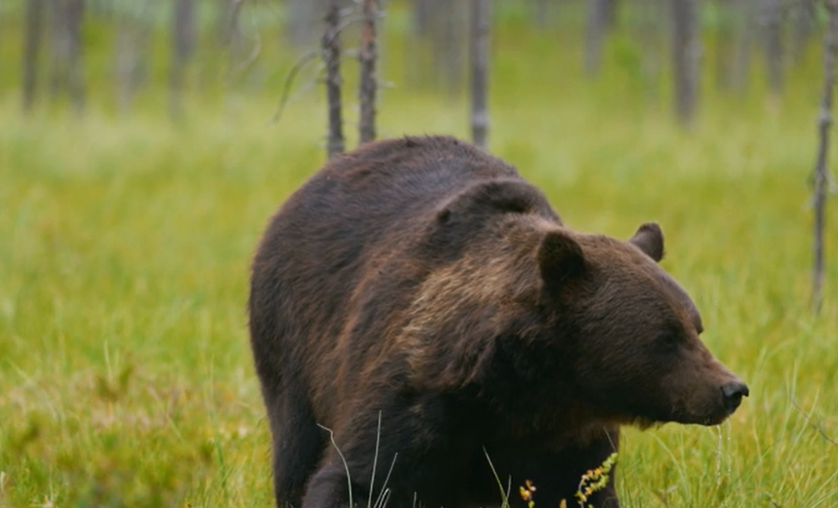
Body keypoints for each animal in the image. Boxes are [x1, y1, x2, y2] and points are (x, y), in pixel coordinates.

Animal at [248, 135, 748, 508]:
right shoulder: (419, 397)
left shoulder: (566, 439)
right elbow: (360, 478)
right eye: (665, 337)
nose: (731, 389)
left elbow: (582, 490)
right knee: (296, 450)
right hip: (292, 344)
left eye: (696, 326)